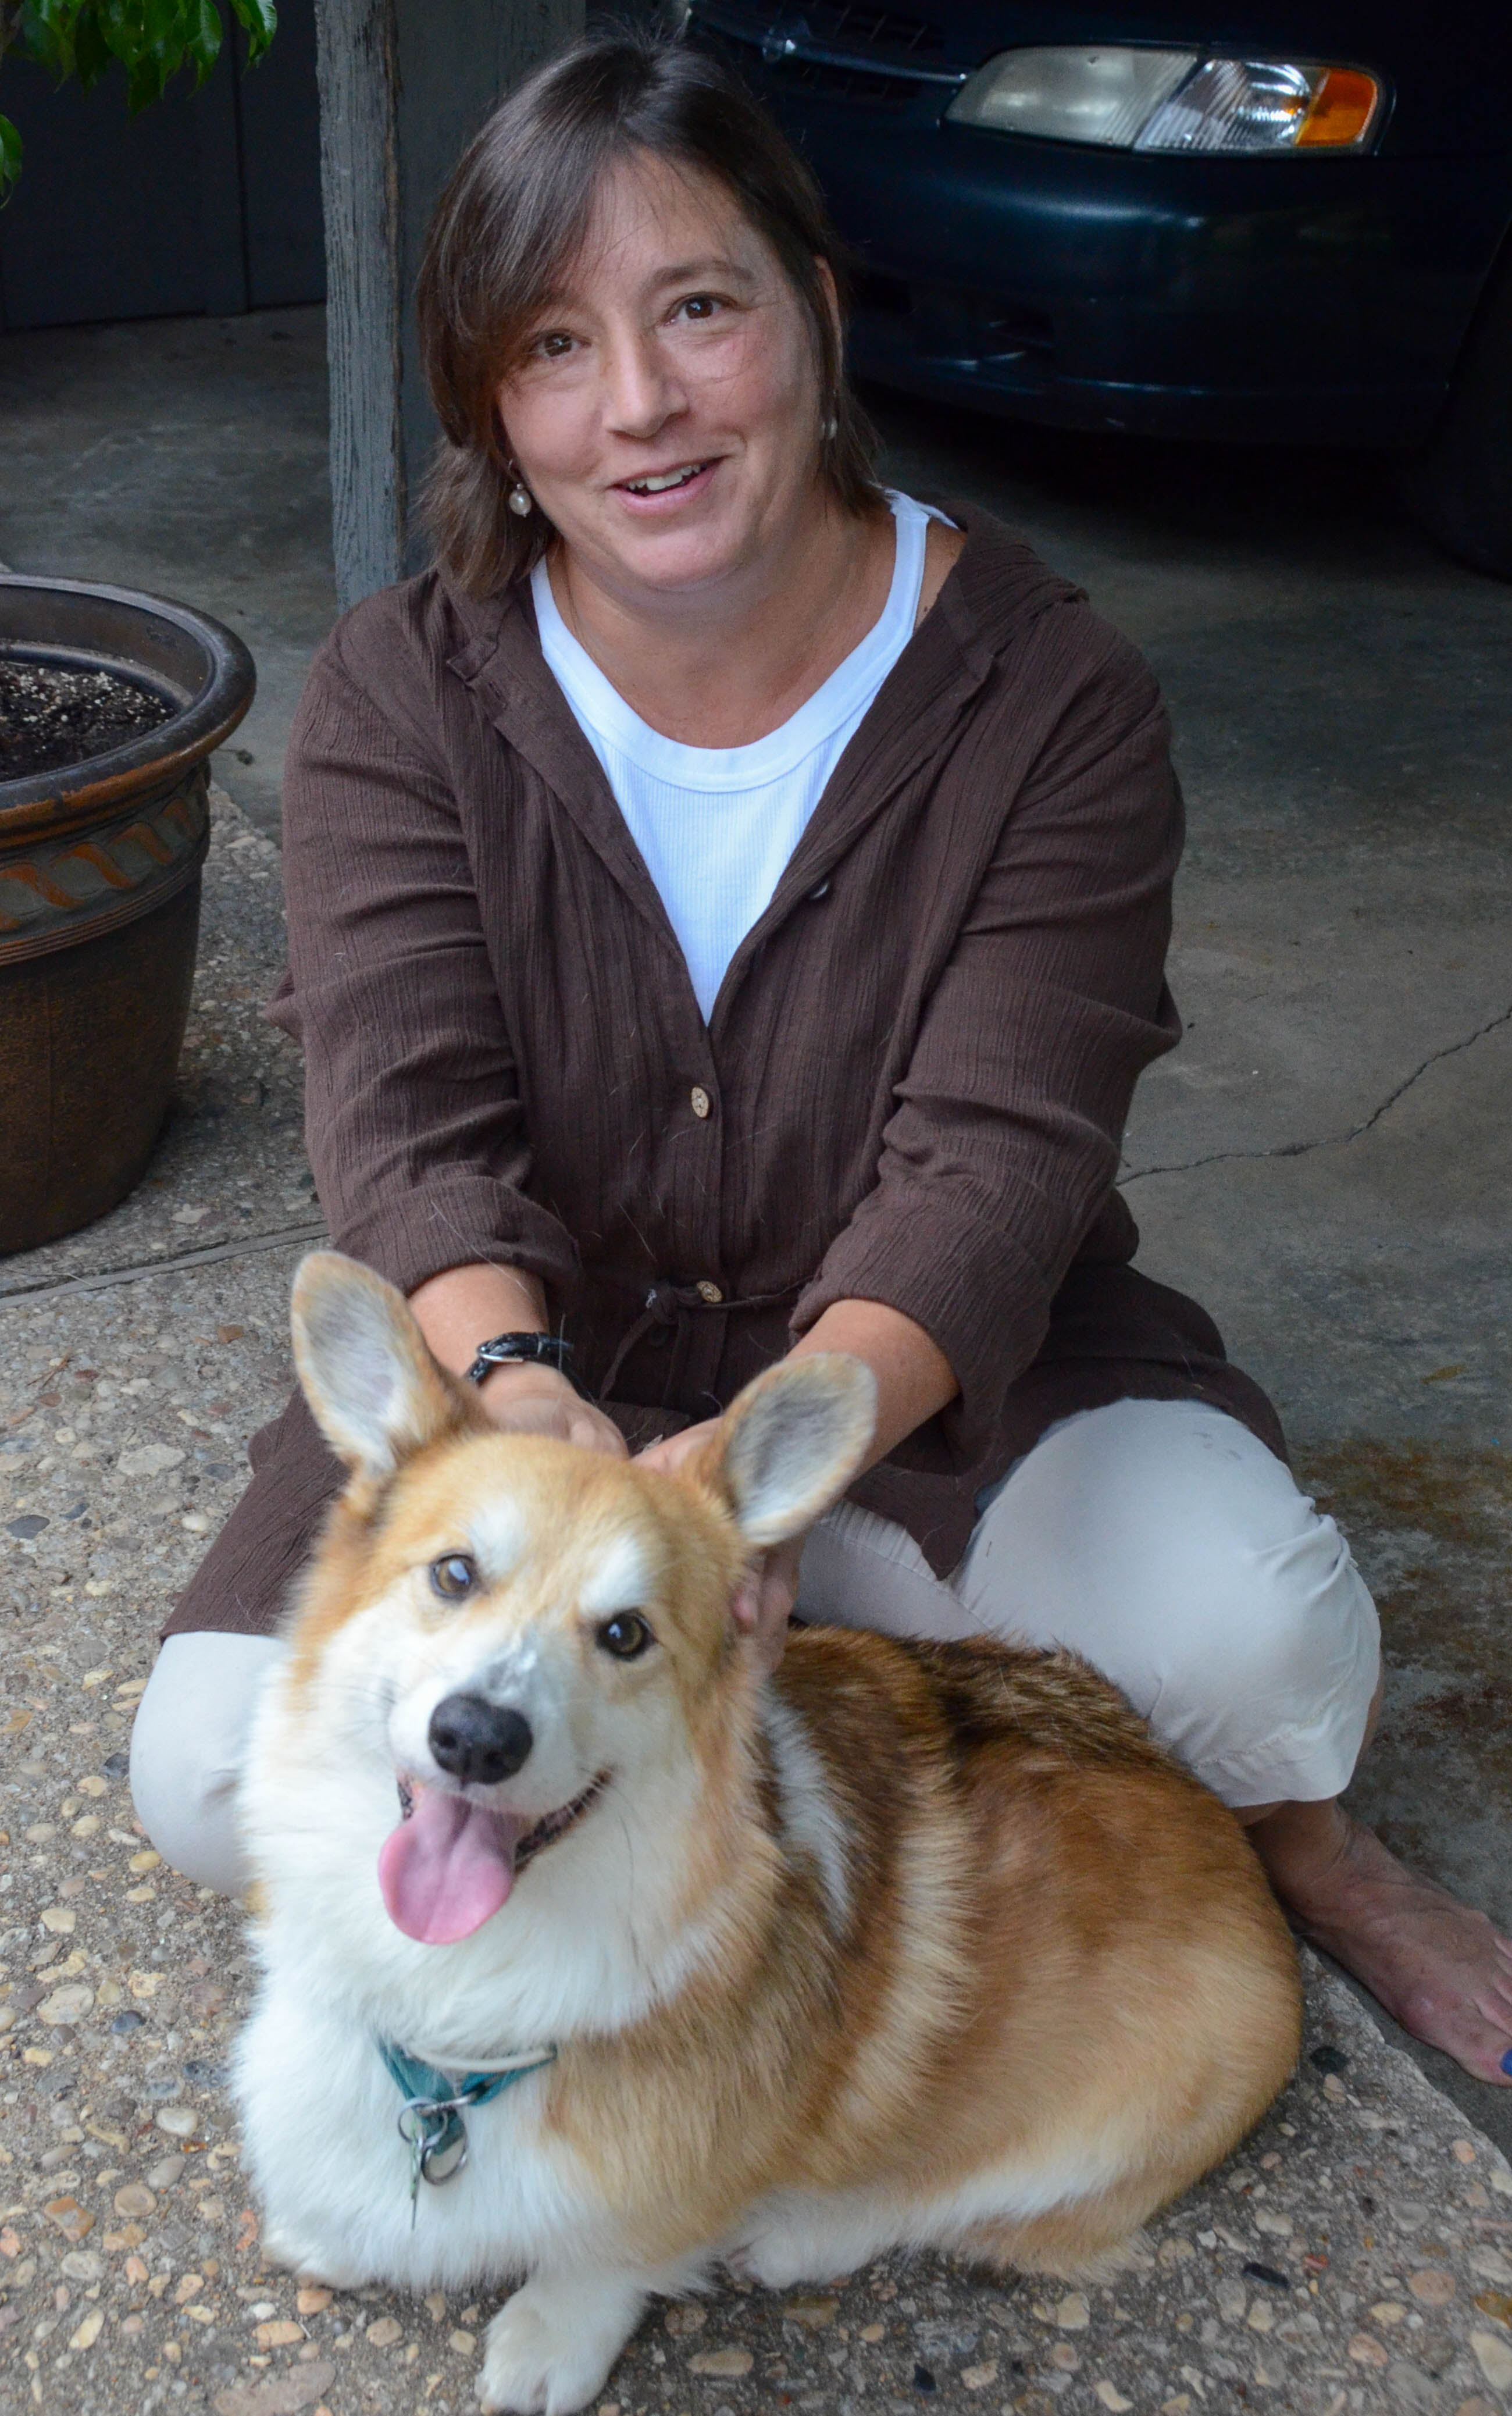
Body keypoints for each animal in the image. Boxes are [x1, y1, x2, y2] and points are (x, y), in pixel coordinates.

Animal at [235, 1256, 1295, 2406]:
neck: (461, 2012)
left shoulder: (681, 2181)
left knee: (966, 2200)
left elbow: (618, 2250)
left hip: (1110, 2120)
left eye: (626, 1633)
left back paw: (797, 2234)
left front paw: (550, 2338)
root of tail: (1236, 1844)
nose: (477, 1736)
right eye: (455, 1573)